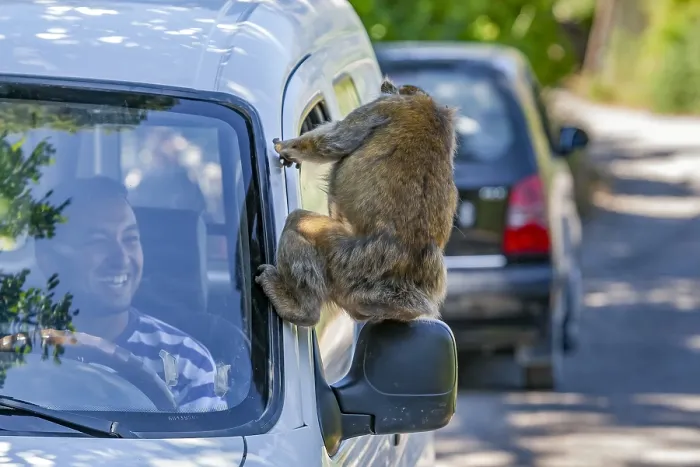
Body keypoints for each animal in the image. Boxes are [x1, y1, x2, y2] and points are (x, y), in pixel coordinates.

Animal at [255, 77, 459, 327]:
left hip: (349, 262)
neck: (429, 106)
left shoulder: (383, 107)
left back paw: (302, 310)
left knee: (299, 221)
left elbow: (329, 144)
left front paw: (285, 147)